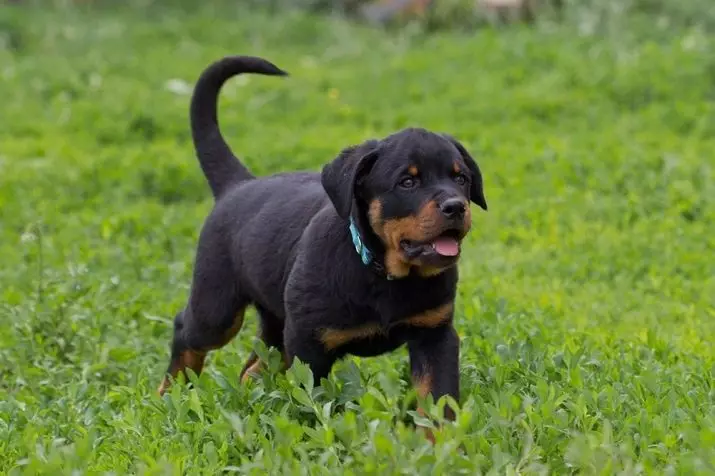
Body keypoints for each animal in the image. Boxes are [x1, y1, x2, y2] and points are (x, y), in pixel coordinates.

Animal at [159, 54, 490, 424]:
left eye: (460, 178)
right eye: (407, 182)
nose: (456, 206)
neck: (383, 274)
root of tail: (238, 185)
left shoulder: (436, 333)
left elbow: (438, 399)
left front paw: (441, 438)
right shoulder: (308, 345)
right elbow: (311, 400)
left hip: (275, 320)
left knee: (254, 367)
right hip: (218, 308)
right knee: (187, 331)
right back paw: (170, 393)